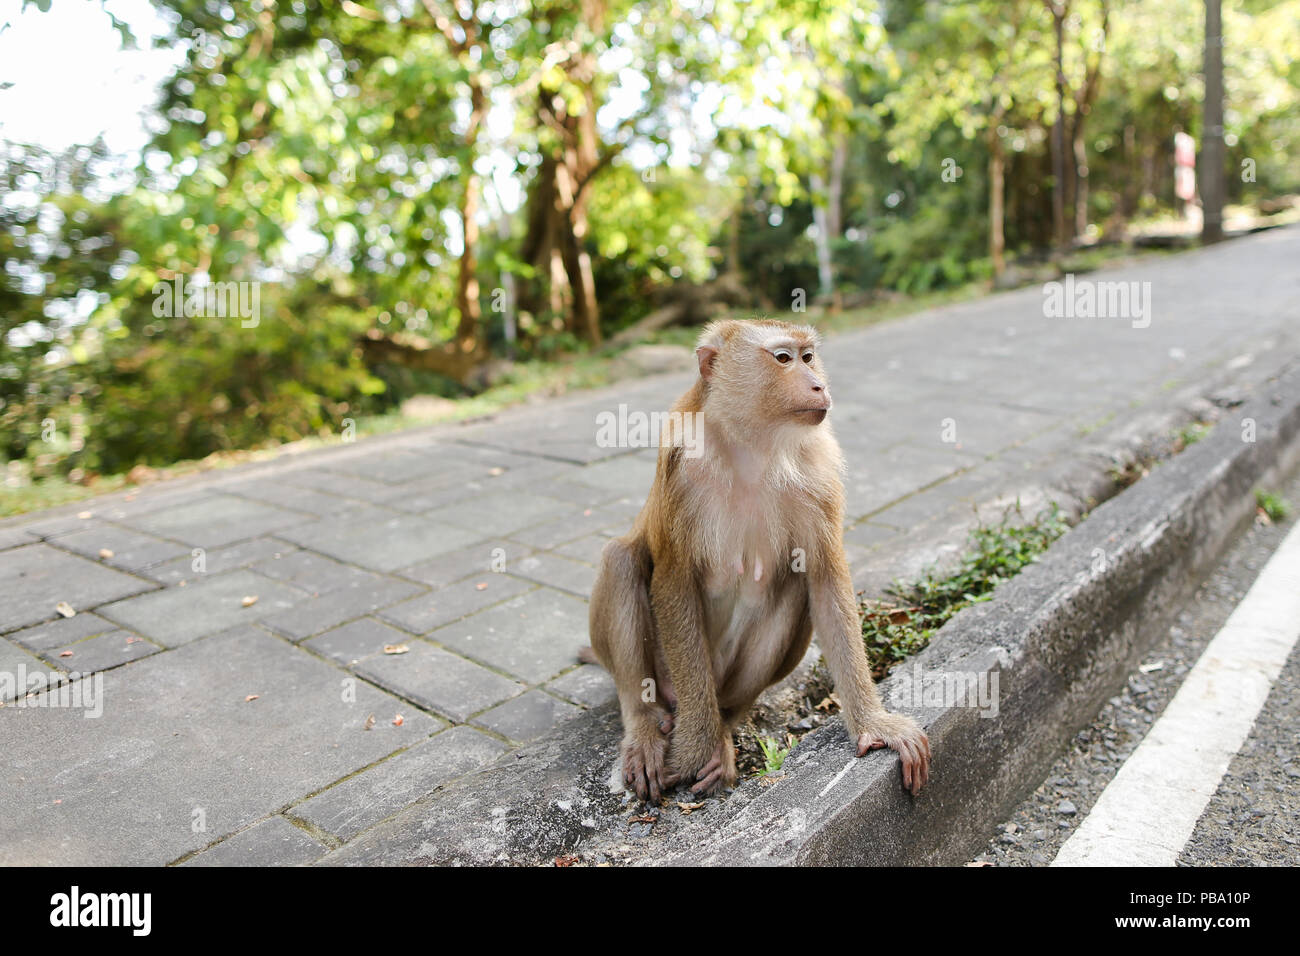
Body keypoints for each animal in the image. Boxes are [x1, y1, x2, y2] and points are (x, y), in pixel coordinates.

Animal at [585, 319, 930, 801]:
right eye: (783, 359)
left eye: (808, 357)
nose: (818, 384)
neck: (753, 446)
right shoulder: (680, 469)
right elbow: (674, 580)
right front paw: (693, 749)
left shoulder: (820, 475)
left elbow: (823, 579)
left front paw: (874, 724)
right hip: (670, 675)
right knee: (620, 559)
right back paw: (648, 726)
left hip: (727, 679)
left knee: (795, 589)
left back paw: (726, 729)